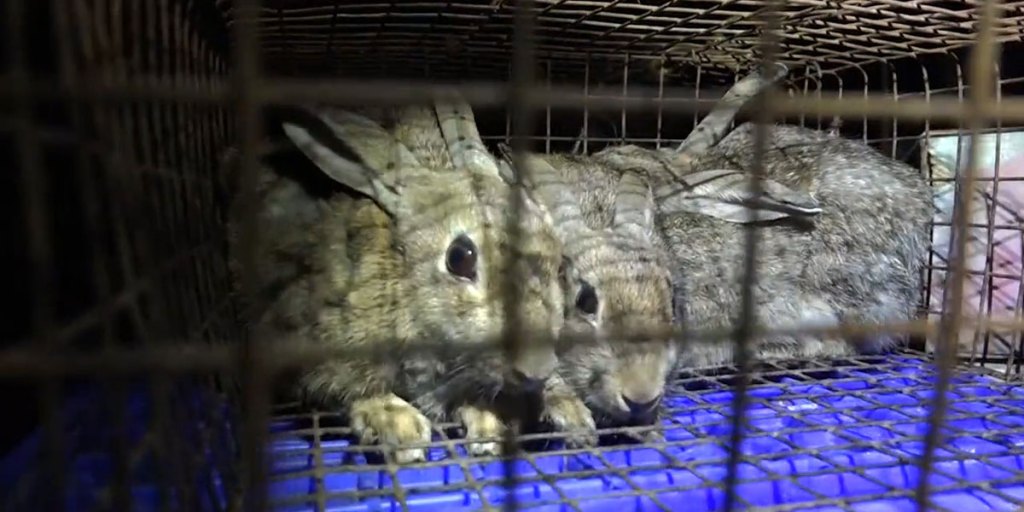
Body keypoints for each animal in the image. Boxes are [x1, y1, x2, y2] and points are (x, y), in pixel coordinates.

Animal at [227, 103, 590, 462]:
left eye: (558, 259)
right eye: (459, 257)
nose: (536, 369)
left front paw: (492, 426)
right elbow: (351, 393)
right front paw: (400, 427)